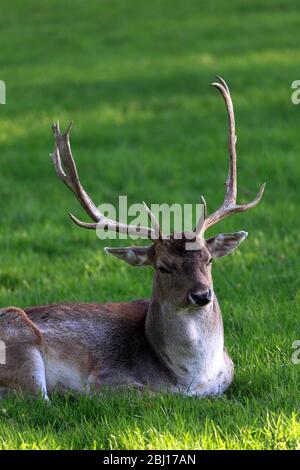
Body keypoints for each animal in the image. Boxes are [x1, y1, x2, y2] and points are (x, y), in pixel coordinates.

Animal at [0, 78, 264, 400]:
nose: (202, 295)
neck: (193, 377)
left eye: (209, 259)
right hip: (20, 340)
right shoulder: (106, 380)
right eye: (163, 266)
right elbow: (151, 394)